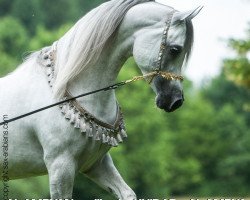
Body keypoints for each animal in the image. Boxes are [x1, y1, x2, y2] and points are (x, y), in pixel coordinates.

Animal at [0, 0, 201, 198]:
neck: (64, 88)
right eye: (175, 49)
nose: (175, 100)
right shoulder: (60, 165)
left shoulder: (96, 164)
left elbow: (127, 193)